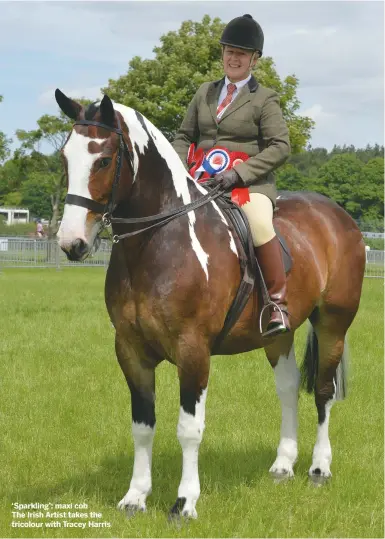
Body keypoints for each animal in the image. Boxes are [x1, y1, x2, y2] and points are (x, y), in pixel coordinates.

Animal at [54, 87, 366, 520]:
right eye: (65, 158)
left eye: (102, 159)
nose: (72, 244)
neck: (157, 241)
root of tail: (338, 215)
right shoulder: (130, 349)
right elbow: (142, 425)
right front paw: (135, 497)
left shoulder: (193, 350)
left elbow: (189, 429)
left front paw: (185, 503)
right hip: (277, 334)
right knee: (287, 388)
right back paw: (283, 465)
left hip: (333, 323)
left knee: (323, 390)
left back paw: (319, 468)